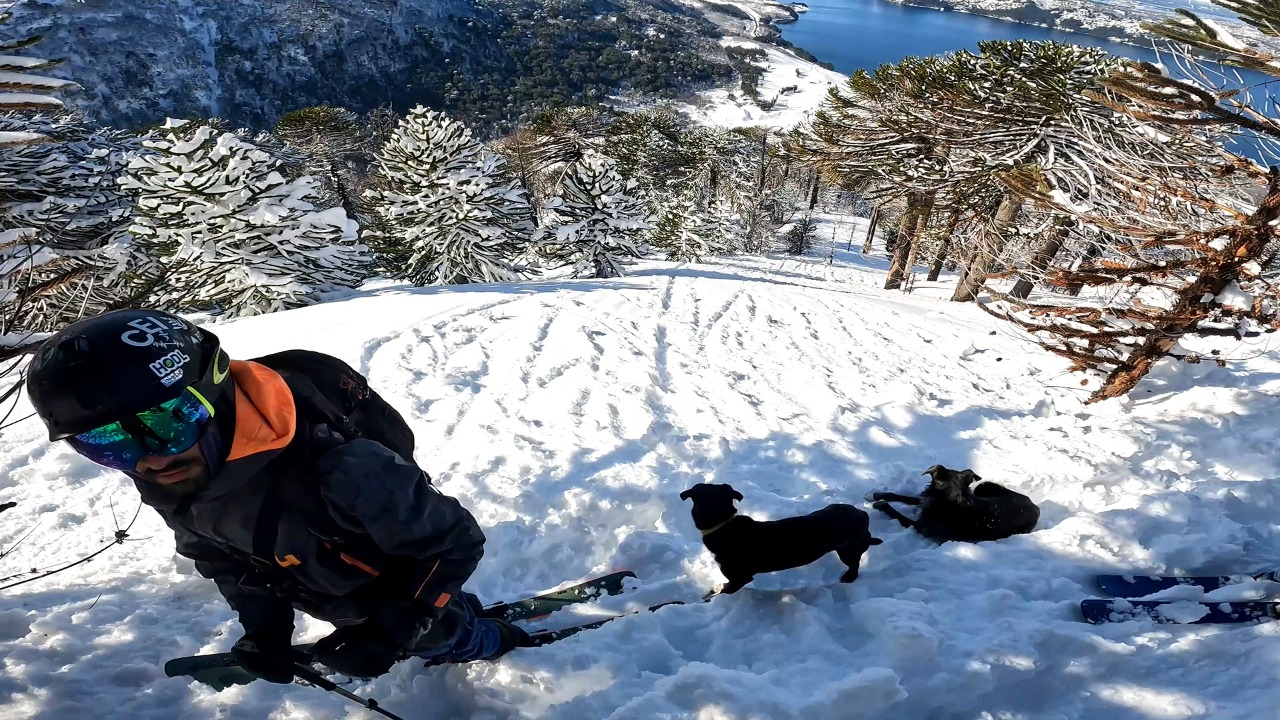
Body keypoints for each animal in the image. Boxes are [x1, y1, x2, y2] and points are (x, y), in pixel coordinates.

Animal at [680, 481, 880, 594]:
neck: (723, 523)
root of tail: (862, 513)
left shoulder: (741, 578)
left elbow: (727, 590)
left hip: (847, 549)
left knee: (855, 564)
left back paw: (849, 577)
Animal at [870, 461, 1039, 540]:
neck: (951, 497)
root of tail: (1035, 506)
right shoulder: (926, 501)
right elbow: (904, 496)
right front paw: (875, 495)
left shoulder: (919, 526)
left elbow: (896, 513)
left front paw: (880, 503)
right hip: (982, 487)